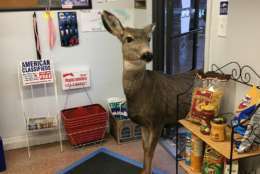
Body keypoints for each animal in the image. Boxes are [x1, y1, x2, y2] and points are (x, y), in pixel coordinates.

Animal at [101, 10, 197, 174]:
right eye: (128, 38)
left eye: (148, 38)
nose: (148, 54)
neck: (141, 94)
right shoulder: (144, 124)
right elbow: (145, 149)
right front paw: (143, 171)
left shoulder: (159, 120)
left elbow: (151, 151)